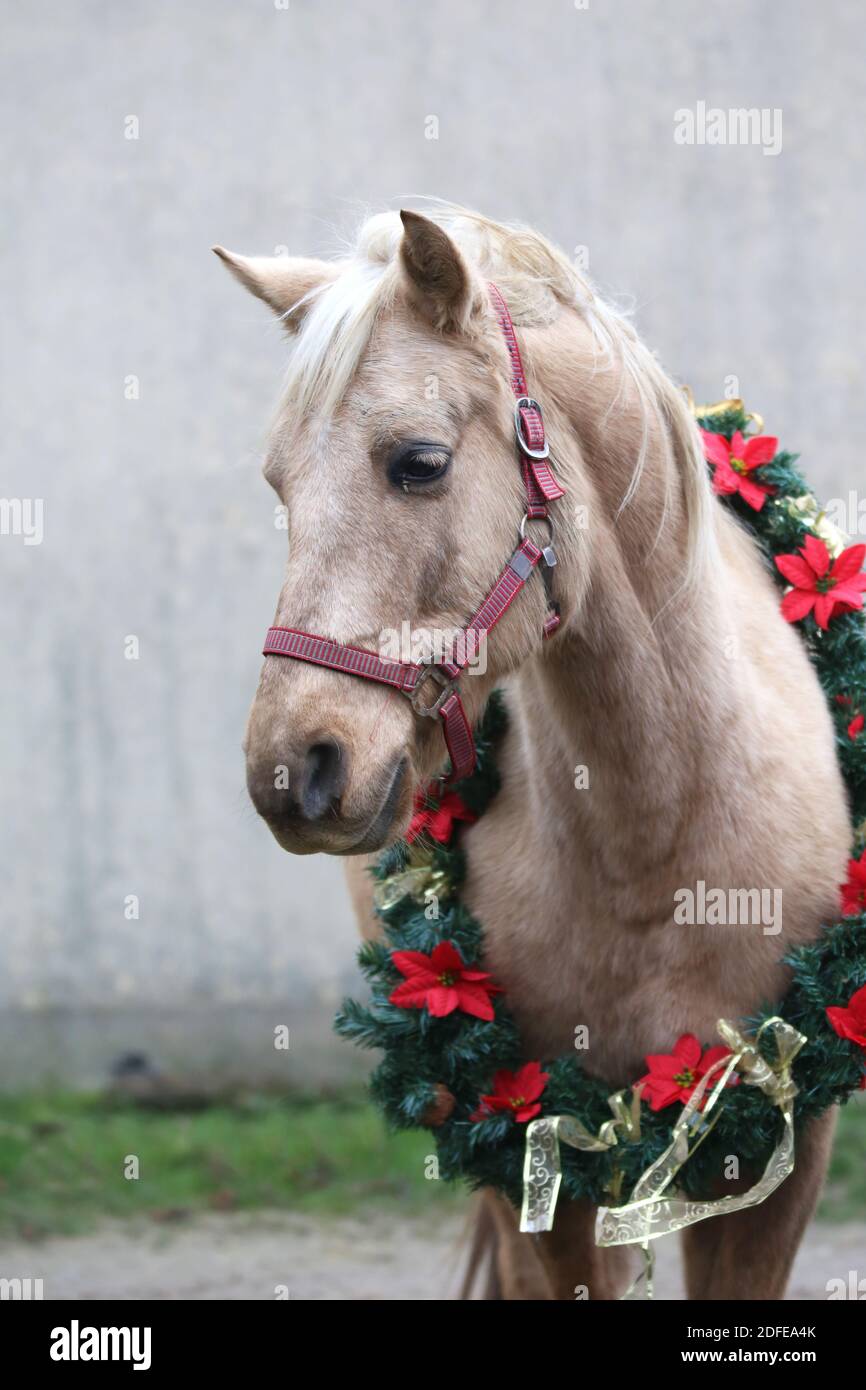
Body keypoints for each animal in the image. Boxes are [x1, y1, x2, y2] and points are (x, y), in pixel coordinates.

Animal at [215, 208, 845, 1301]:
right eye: (278, 484)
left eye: (418, 461)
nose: (295, 770)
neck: (658, 830)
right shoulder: (531, 1139)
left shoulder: (781, 1146)